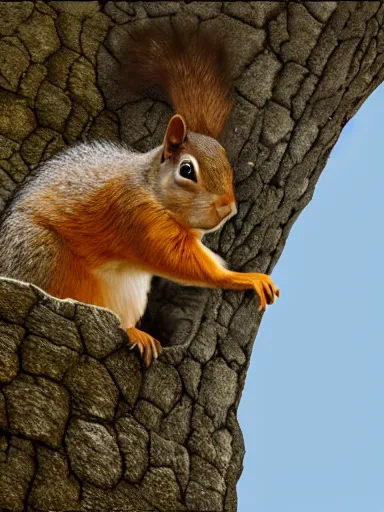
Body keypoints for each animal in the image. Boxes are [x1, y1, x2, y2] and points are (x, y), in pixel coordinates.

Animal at [0, 23, 280, 364]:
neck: (150, 187)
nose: (228, 209)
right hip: (42, 256)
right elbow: (184, 263)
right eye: (187, 170)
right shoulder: (136, 216)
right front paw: (245, 278)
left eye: (227, 163)